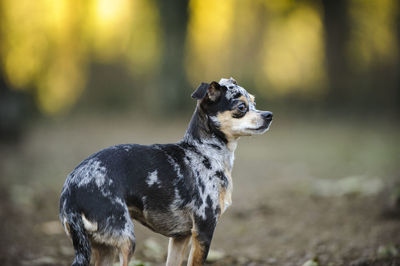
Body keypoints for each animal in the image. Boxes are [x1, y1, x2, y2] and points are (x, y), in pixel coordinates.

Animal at [58, 77, 272, 266]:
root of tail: (70, 193)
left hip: (104, 248)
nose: (269, 115)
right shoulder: (204, 229)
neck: (203, 151)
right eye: (241, 107)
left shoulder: (181, 237)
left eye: (254, 101)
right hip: (125, 240)